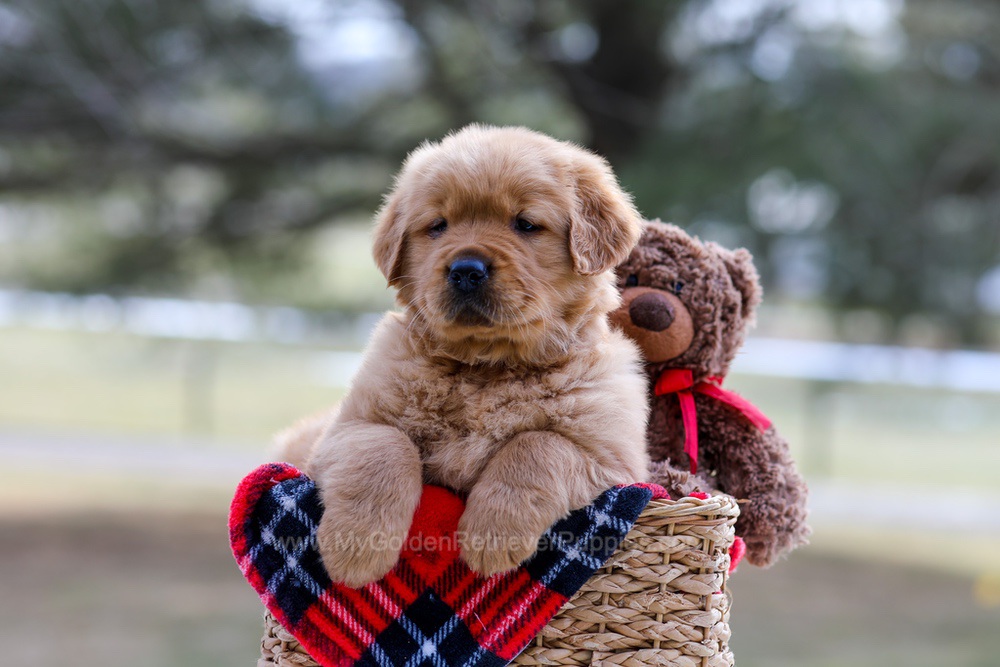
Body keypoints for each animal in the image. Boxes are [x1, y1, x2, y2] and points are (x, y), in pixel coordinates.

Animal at [278, 125, 650, 587]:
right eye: (438, 226)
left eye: (526, 224)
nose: (466, 270)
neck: (484, 367)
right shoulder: (346, 429)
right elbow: (384, 446)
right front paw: (358, 548)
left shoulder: (614, 462)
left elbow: (537, 445)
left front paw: (492, 535)